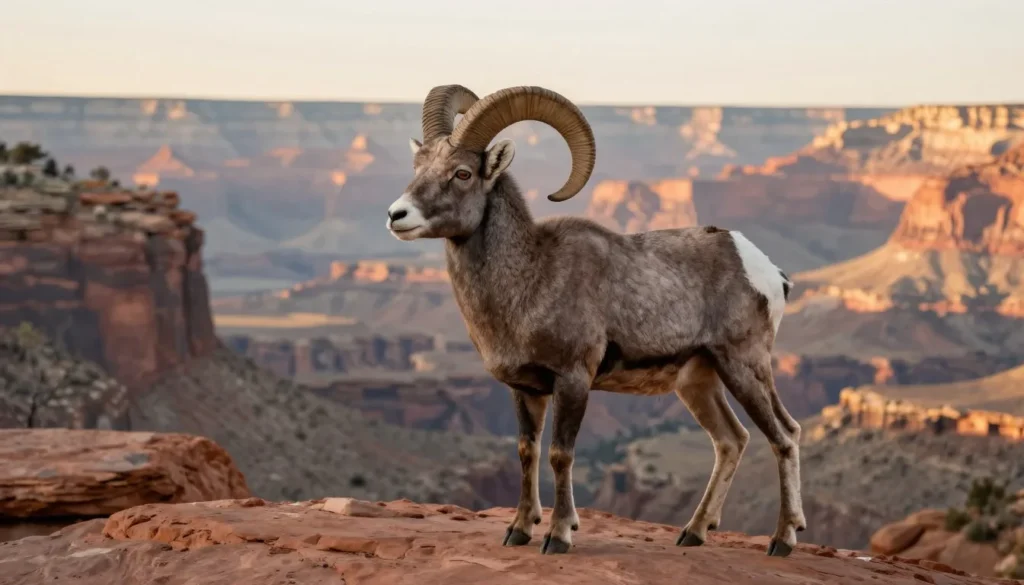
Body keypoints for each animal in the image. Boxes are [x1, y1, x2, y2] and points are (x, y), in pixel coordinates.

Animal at [386, 84, 806, 556]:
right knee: (731, 440)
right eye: (418, 166)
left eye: (462, 174)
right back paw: (693, 533)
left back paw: (783, 540)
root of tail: (768, 271)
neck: (532, 277)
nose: (397, 215)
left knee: (785, 435)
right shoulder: (525, 390)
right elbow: (527, 451)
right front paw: (519, 530)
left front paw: (559, 536)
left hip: (744, 366)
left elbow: (560, 454)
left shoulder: (573, 380)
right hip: (699, 381)